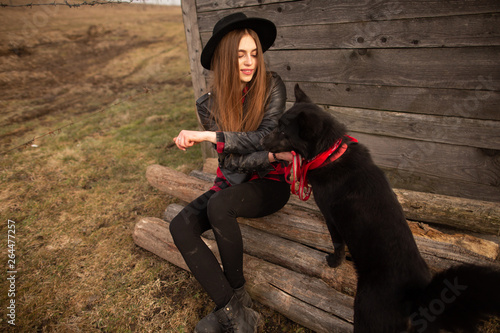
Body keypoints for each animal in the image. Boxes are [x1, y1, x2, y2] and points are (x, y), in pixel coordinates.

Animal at [262, 85, 500, 332]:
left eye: (282, 131)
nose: (260, 141)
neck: (329, 153)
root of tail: (417, 295)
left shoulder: (331, 218)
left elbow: (338, 244)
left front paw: (335, 262)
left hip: (365, 311)